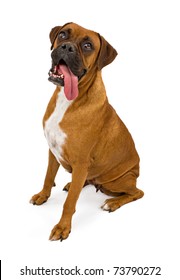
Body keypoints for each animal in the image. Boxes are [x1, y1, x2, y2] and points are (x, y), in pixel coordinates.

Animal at [30, 22, 144, 241]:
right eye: (63, 35)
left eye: (88, 45)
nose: (67, 47)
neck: (68, 100)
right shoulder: (52, 151)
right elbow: (48, 177)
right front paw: (43, 195)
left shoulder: (81, 161)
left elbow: (70, 203)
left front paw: (62, 227)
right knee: (83, 181)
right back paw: (73, 184)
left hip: (118, 181)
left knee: (137, 193)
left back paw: (113, 203)